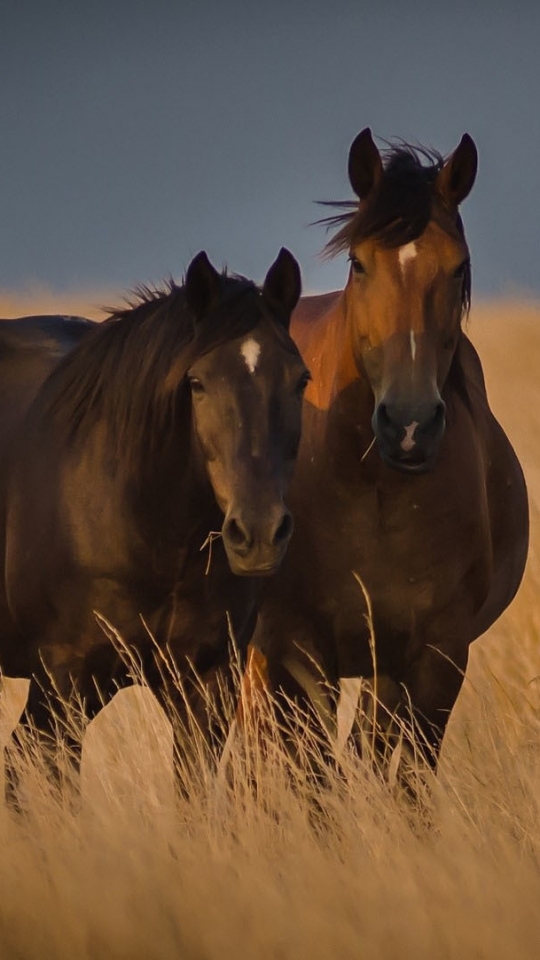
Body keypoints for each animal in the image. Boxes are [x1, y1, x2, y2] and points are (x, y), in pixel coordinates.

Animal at [251, 129, 528, 772]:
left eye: (458, 267)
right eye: (359, 262)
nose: (409, 424)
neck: (372, 493)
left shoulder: (434, 659)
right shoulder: (299, 651)